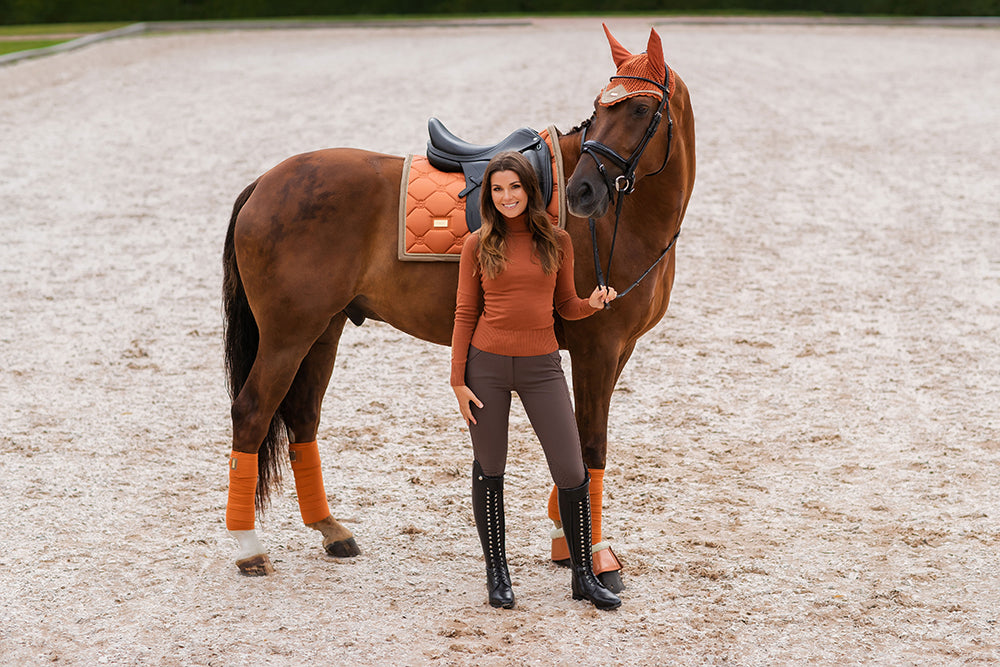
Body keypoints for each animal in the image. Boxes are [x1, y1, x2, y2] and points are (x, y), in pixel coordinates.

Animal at [221, 24, 696, 588]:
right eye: (599, 108)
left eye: (641, 110)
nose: (582, 191)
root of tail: (265, 183)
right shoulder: (597, 349)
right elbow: (590, 447)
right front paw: (596, 556)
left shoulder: (615, 351)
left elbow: (574, 447)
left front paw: (566, 541)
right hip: (288, 335)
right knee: (252, 412)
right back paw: (249, 546)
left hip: (323, 330)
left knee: (302, 416)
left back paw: (331, 530)